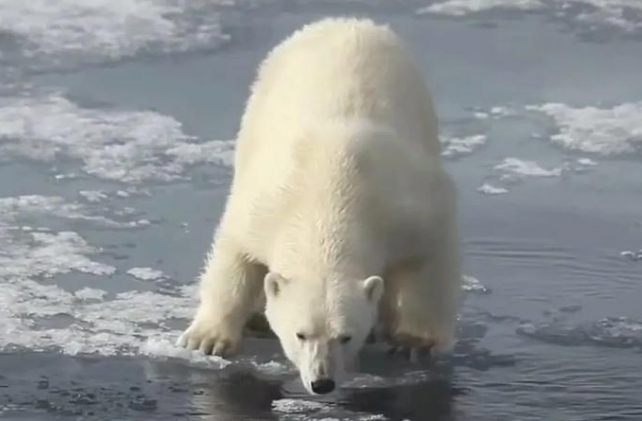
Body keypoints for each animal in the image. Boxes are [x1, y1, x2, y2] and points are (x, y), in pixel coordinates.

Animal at [177, 17, 462, 395]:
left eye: (345, 336)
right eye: (300, 334)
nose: (322, 382)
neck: (330, 197)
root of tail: (346, 22)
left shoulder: (406, 207)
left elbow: (433, 256)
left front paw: (415, 341)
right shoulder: (265, 203)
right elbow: (234, 255)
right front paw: (207, 339)